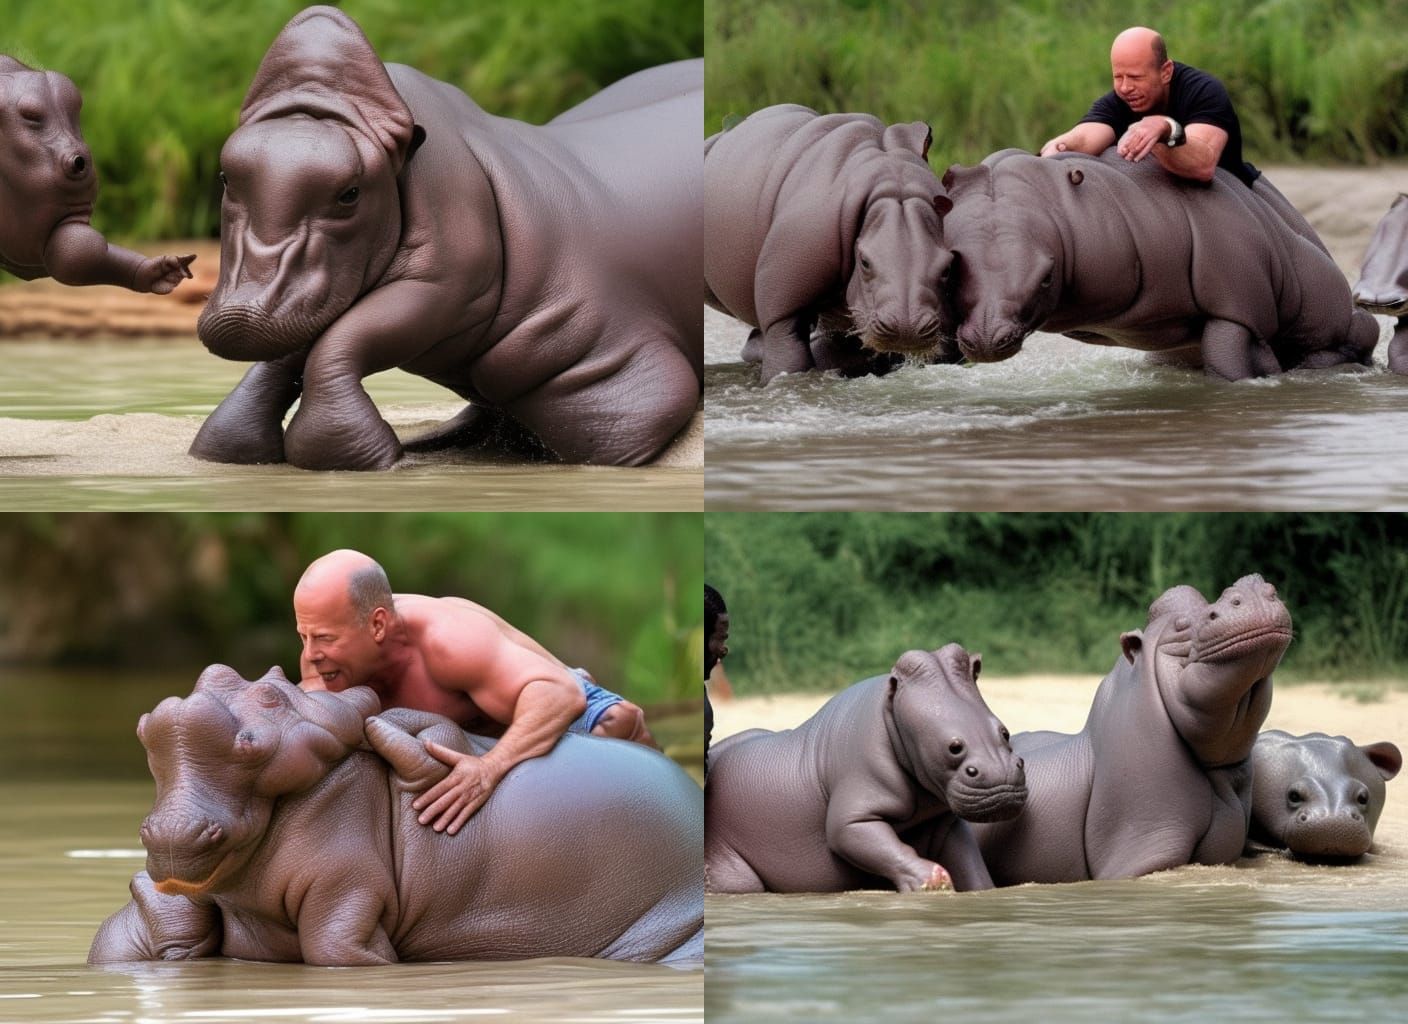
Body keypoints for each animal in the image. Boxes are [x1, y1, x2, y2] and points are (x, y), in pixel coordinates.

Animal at [704, 104, 956, 383]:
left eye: (947, 266)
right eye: (865, 262)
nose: (907, 328)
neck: (891, 188)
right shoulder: (783, 312)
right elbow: (786, 358)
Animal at [705, 644, 1027, 894]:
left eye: (1004, 731)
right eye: (954, 746)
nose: (1001, 777)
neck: (892, 717)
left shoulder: (944, 823)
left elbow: (968, 860)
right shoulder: (854, 808)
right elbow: (868, 840)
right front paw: (933, 881)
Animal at [941, 149, 1379, 379]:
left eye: (1047, 277)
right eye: (952, 266)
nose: (986, 337)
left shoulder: (1239, 306)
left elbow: (1230, 361)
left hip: (1330, 307)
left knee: (1359, 334)